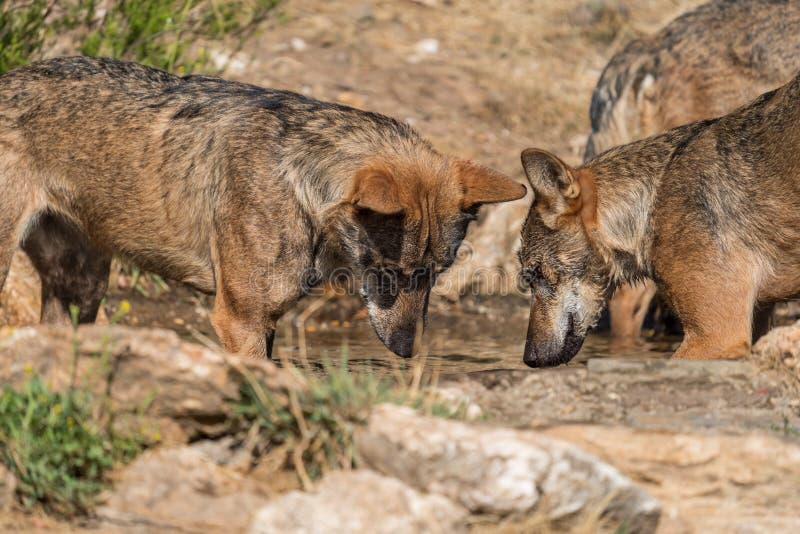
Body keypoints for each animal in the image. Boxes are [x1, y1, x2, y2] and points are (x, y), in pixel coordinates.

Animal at [0, 56, 525, 359]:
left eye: (435, 274)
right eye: (390, 274)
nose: (408, 352)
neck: (300, 187)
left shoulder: (267, 322)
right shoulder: (239, 320)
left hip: (83, 290)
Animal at [518, 71, 800, 367]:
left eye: (537, 274)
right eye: (529, 278)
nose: (529, 358)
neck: (651, 204)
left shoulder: (717, 337)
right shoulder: (754, 323)